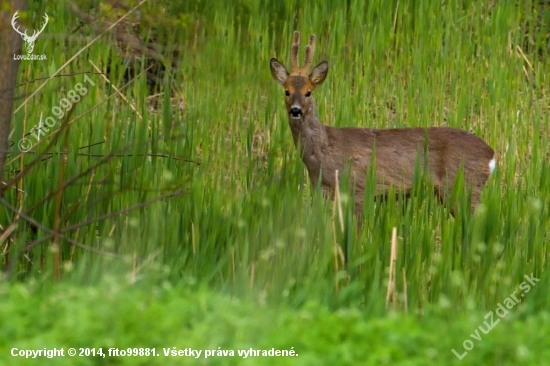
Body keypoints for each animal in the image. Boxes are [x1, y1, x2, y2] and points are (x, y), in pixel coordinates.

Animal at [270, 32, 496, 214]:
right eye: (286, 91)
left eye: (308, 92)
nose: (295, 110)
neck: (323, 152)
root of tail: (491, 155)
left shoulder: (358, 188)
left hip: (464, 187)